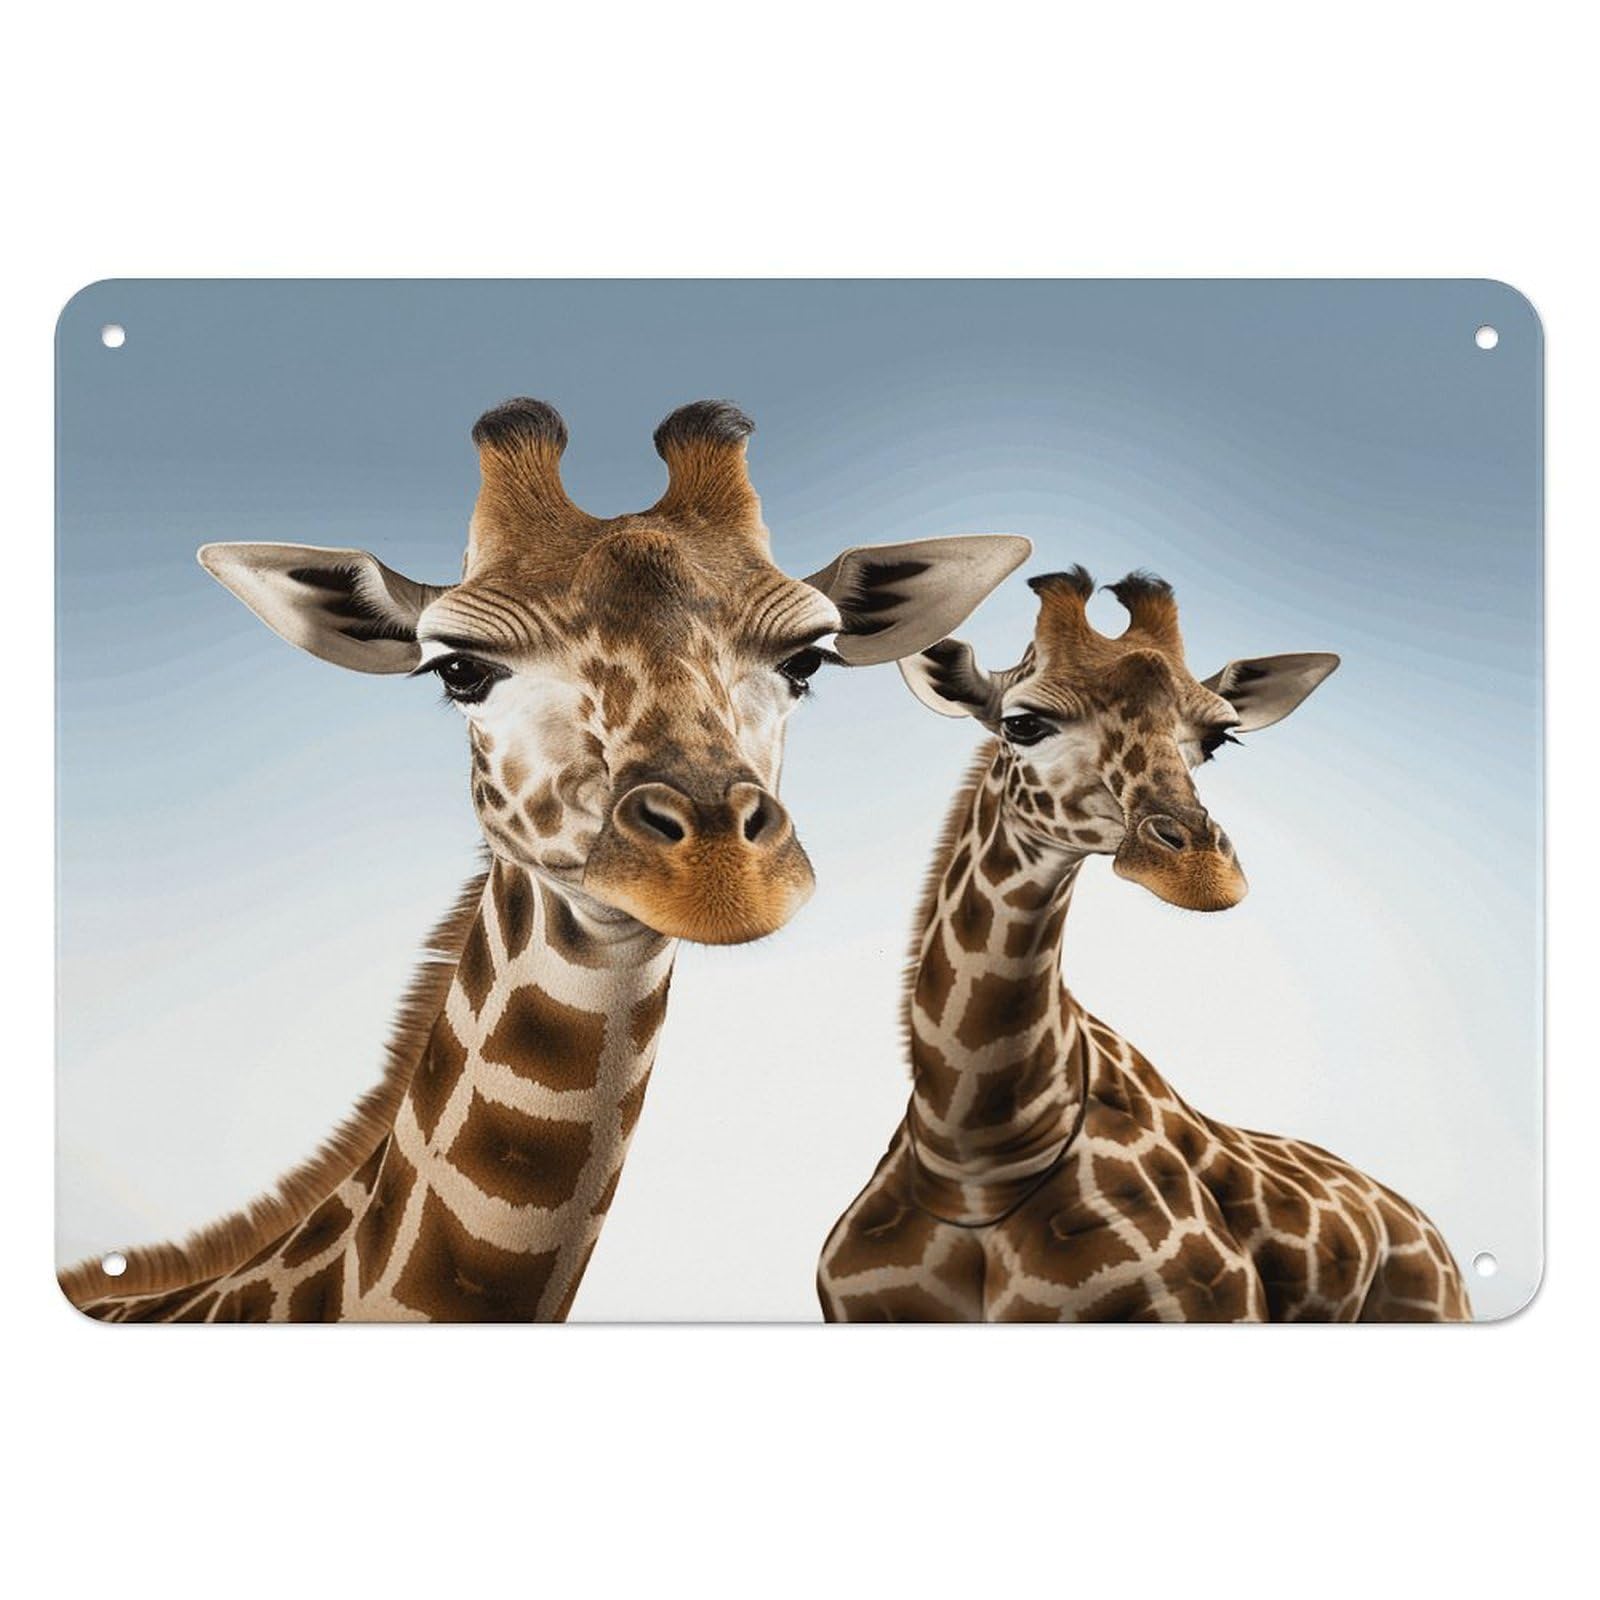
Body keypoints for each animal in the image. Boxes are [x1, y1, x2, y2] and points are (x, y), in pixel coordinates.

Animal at [818, 567, 1470, 1322]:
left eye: (1218, 739)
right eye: (1023, 723)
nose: (1201, 872)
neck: (973, 1155)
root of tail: (1420, 1220)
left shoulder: (1214, 1307)